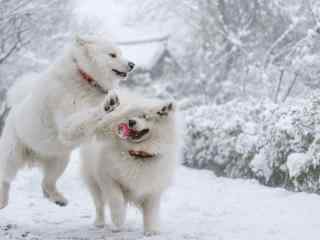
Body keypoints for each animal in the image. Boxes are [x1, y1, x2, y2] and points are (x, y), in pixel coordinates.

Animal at [0, 34, 135, 209]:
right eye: (112, 55)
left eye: (120, 52)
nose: (132, 64)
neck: (86, 78)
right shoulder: (66, 119)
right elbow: (82, 118)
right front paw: (107, 105)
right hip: (13, 155)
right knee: (5, 177)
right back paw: (3, 201)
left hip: (60, 158)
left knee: (47, 182)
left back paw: (58, 198)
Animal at [80, 91, 182, 236]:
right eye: (130, 117)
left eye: (145, 116)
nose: (131, 121)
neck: (138, 154)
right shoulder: (108, 178)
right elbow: (116, 200)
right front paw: (118, 221)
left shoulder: (153, 187)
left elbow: (150, 212)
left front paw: (150, 231)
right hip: (93, 182)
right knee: (99, 205)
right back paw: (100, 223)